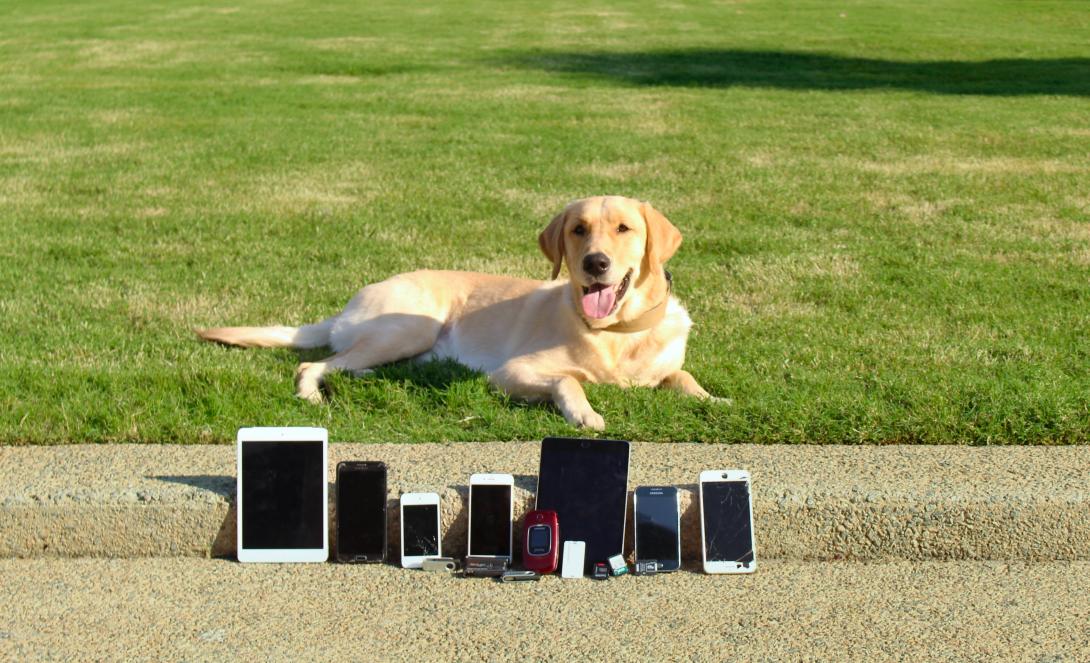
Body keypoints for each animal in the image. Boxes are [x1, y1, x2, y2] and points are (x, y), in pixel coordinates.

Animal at [200, 194, 719, 427]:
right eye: (578, 229)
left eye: (624, 228)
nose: (596, 263)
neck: (617, 332)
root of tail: (354, 299)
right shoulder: (511, 372)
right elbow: (568, 381)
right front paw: (584, 414)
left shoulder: (665, 367)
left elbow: (682, 377)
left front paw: (714, 400)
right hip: (409, 329)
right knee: (313, 363)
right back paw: (313, 395)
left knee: (344, 361)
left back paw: (366, 376)